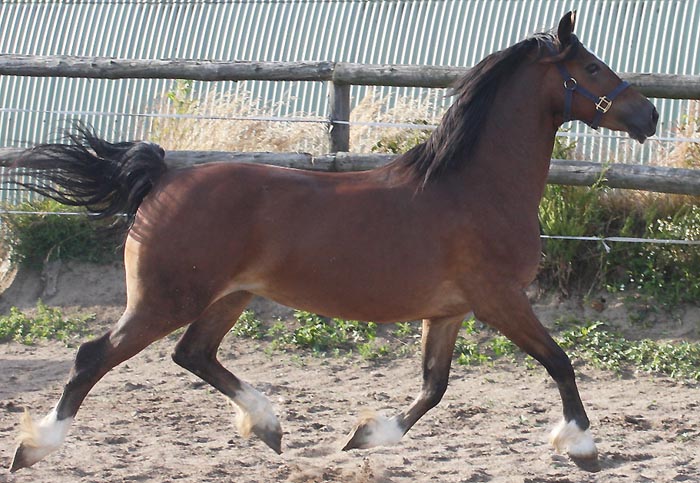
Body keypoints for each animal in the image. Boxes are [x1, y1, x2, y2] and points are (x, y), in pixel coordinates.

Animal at [9, 12, 657, 474]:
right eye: (592, 68)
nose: (648, 115)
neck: (476, 188)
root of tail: (164, 177)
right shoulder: (500, 300)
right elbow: (559, 362)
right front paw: (582, 446)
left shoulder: (450, 311)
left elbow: (434, 387)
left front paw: (365, 436)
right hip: (164, 300)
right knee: (93, 356)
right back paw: (35, 447)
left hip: (229, 296)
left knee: (193, 354)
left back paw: (268, 427)